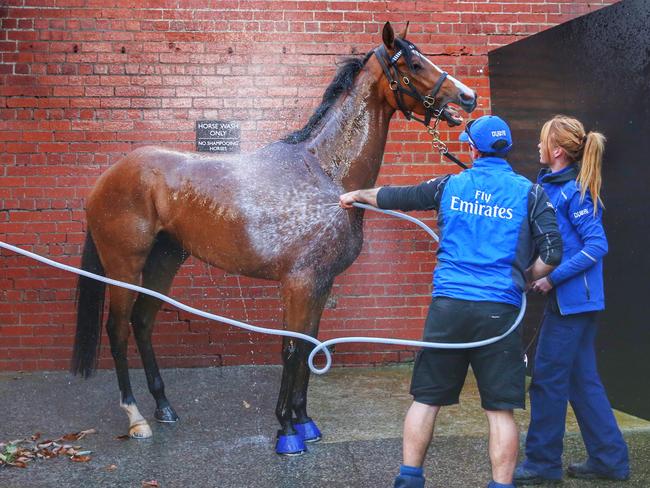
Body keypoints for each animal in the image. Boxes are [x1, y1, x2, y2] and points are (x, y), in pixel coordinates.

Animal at [71, 21, 476, 458]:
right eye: (414, 63)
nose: (468, 98)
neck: (326, 173)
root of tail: (106, 178)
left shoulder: (320, 283)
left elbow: (309, 344)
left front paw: (304, 421)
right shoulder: (299, 283)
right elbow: (292, 348)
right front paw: (287, 430)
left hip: (165, 259)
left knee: (143, 322)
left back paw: (163, 407)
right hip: (124, 267)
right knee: (118, 329)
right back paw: (137, 418)